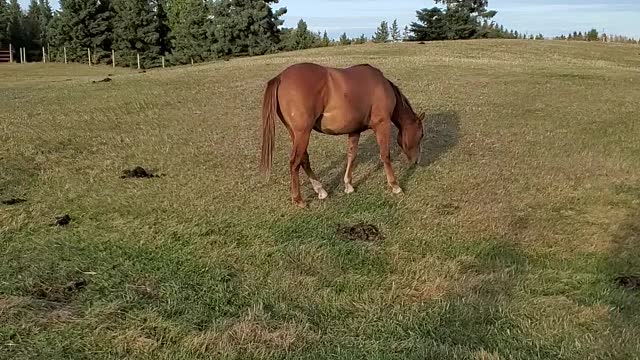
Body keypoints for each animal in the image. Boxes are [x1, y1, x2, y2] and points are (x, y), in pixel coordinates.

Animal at [258, 62, 422, 208]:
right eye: (421, 135)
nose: (416, 161)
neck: (381, 86)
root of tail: (280, 77)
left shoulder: (355, 130)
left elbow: (351, 155)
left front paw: (348, 185)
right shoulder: (382, 125)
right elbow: (385, 155)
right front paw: (395, 186)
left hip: (296, 134)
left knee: (303, 160)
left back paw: (320, 190)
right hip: (302, 133)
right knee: (294, 163)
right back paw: (298, 200)